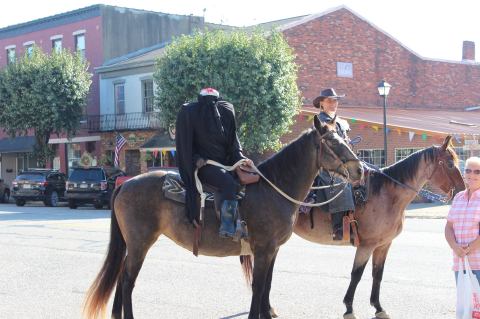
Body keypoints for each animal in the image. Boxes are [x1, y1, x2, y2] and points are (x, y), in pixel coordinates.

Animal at [83, 115, 364, 319]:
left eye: (344, 138)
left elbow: (266, 287)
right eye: (333, 143)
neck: (274, 188)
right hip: (140, 243)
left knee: (121, 278)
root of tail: (125, 184)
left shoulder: (272, 250)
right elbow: (258, 288)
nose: (359, 170)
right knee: (127, 281)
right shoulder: (263, 249)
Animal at [292, 136, 464, 319]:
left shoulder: (383, 245)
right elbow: (356, 275)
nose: (463, 189)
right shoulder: (366, 246)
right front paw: (349, 308)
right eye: (450, 164)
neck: (387, 195)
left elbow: (377, 274)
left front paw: (378, 307)